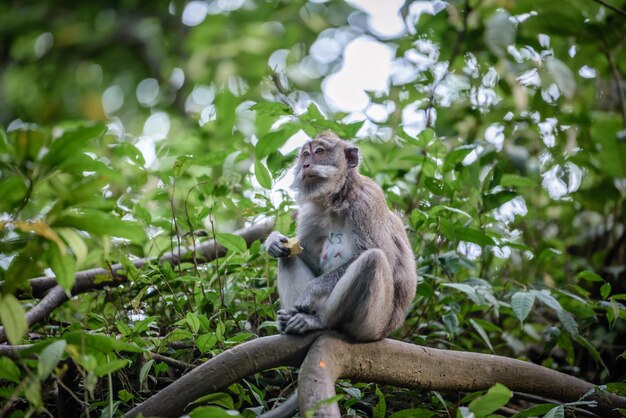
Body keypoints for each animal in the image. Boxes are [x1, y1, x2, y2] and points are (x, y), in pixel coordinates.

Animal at [264, 131, 414, 342]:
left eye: (319, 151)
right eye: (305, 154)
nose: (305, 165)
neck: (338, 200)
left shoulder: (367, 202)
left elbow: (385, 256)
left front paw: (311, 290)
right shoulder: (311, 214)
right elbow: (307, 258)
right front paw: (274, 240)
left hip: (373, 325)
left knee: (372, 259)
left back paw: (318, 321)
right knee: (287, 256)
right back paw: (291, 320)